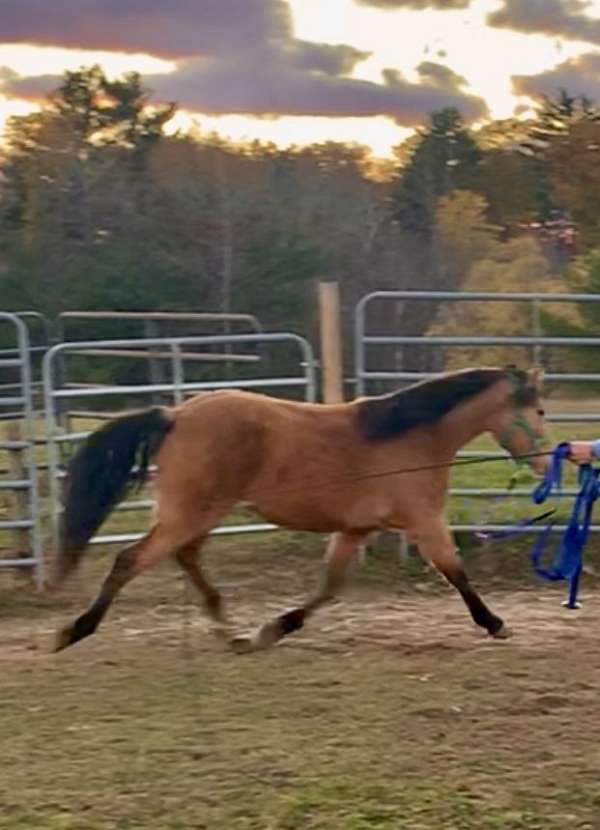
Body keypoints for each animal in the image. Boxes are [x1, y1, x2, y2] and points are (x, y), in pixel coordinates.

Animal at [53, 366, 548, 653]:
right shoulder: (424, 523)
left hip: (197, 515)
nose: (546, 464)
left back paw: (231, 632)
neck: (413, 438)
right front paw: (495, 624)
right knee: (130, 559)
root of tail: (174, 416)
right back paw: (74, 631)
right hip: (189, 513)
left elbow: (329, 588)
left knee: (186, 557)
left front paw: (275, 628)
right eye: (541, 410)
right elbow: (456, 572)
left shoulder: (354, 530)